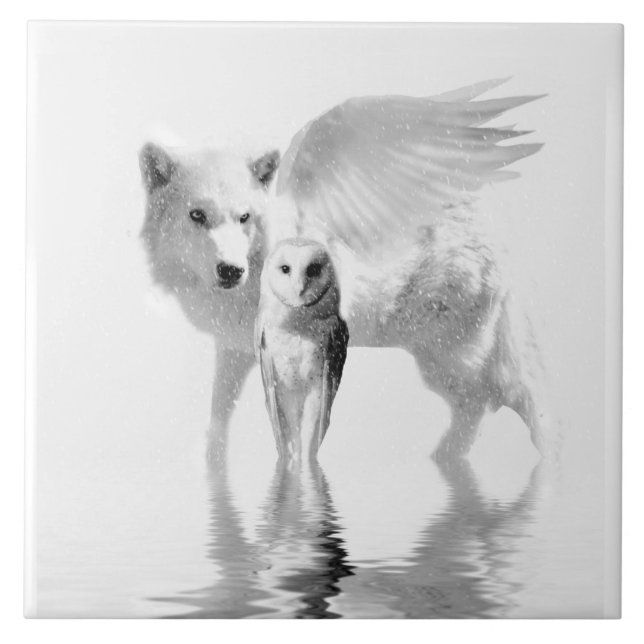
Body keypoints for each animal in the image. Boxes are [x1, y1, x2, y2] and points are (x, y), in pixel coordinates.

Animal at [138, 141, 556, 461]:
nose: (231, 270)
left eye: (244, 217)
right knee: (486, 405)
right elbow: (220, 412)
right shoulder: (236, 350)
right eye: (197, 215)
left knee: (501, 399)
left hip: (449, 360)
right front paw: (213, 461)